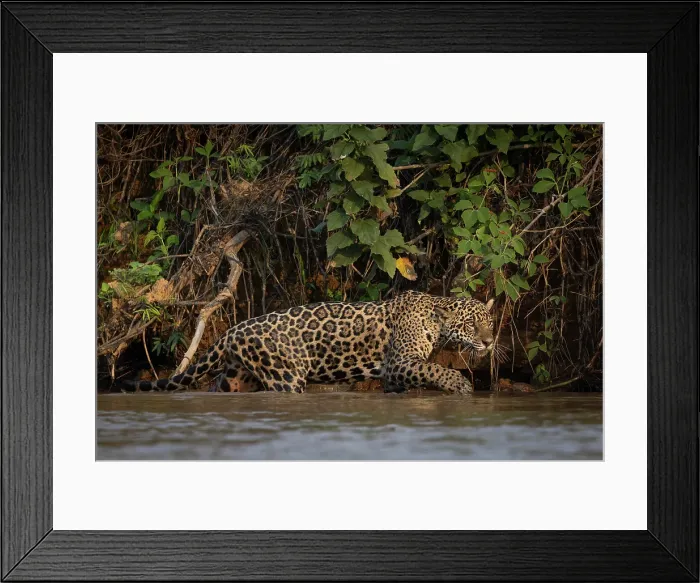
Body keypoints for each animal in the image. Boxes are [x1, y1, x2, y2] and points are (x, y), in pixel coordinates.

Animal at [124, 290, 496, 395]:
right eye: (471, 325)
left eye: (490, 323)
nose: (490, 342)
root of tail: (231, 330)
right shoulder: (400, 362)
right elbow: (434, 369)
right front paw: (460, 385)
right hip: (285, 375)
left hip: (236, 376)